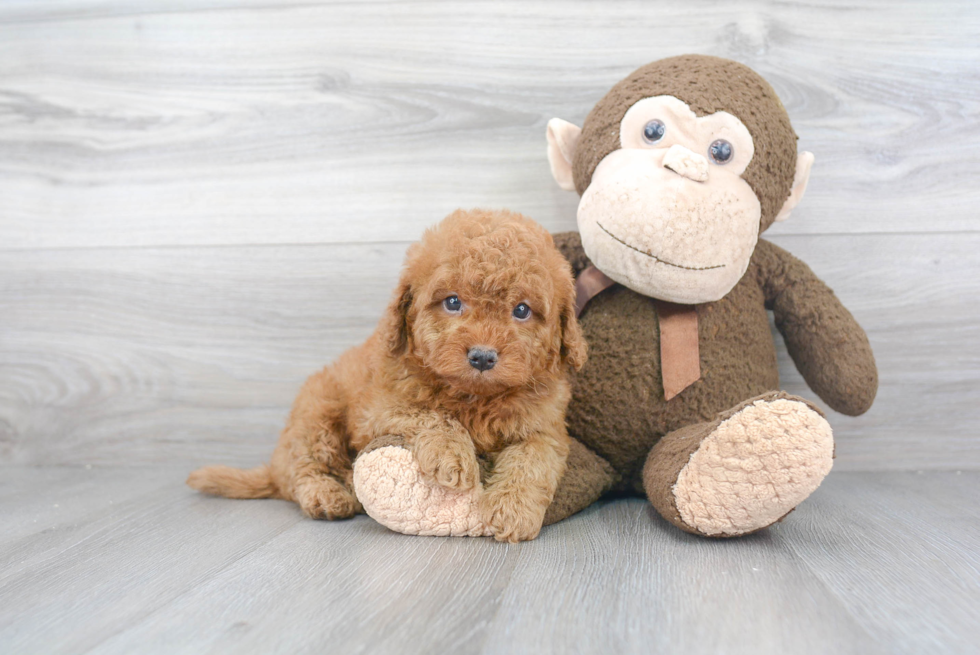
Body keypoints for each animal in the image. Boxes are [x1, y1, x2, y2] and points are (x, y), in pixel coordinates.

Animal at [188, 209, 584, 544]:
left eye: (522, 310)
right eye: (453, 302)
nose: (483, 357)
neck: (473, 397)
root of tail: (274, 467)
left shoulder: (544, 427)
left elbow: (532, 460)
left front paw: (512, 509)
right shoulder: (376, 409)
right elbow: (431, 414)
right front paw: (453, 456)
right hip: (315, 413)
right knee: (305, 467)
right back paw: (327, 495)